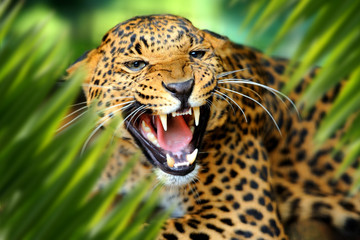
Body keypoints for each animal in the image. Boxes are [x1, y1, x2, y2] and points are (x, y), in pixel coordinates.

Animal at [67, 15, 360, 240]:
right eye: (136, 64)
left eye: (196, 54)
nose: (182, 87)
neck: (143, 170)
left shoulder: (244, 217)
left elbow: (147, 230)